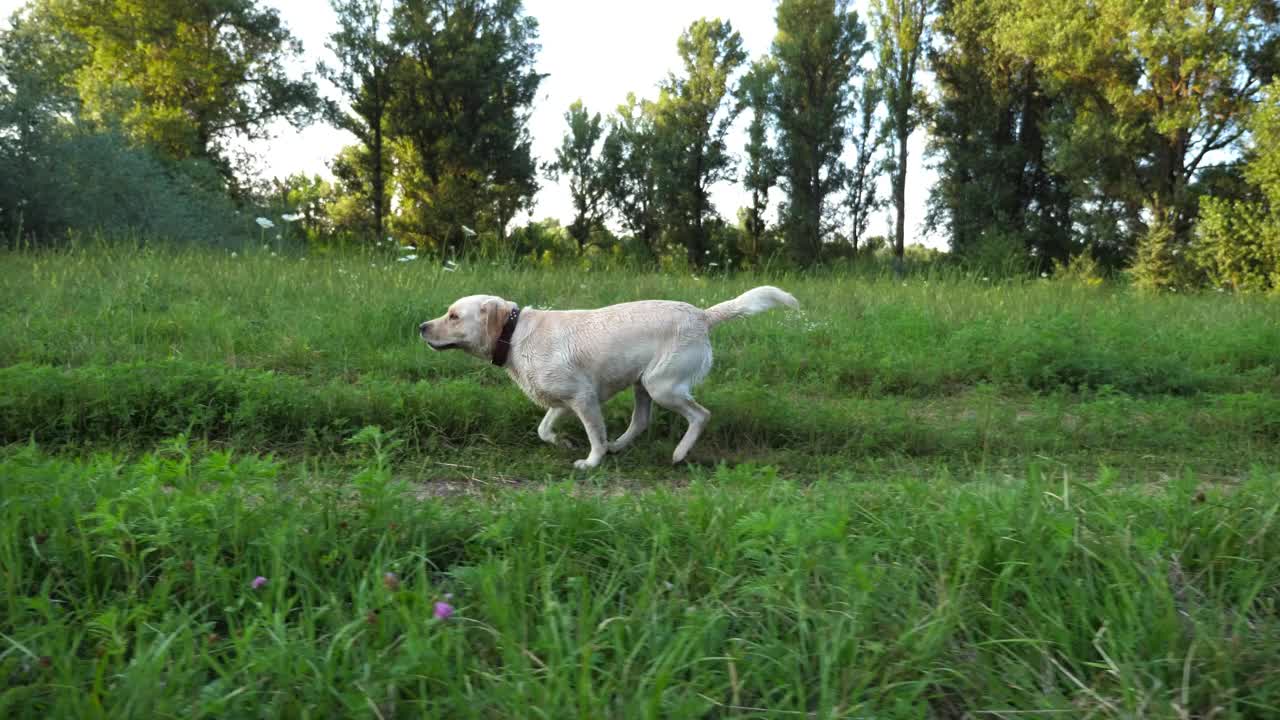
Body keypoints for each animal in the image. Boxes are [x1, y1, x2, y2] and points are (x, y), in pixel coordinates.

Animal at [419, 283, 798, 468]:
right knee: (641, 421)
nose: (421, 327)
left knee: (701, 415)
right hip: (643, 384)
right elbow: (543, 429)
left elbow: (594, 436)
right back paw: (621, 445)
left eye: (453, 316)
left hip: (662, 386)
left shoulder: (583, 399)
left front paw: (591, 462)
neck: (514, 335)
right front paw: (563, 442)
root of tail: (702, 315)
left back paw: (679, 453)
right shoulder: (563, 400)